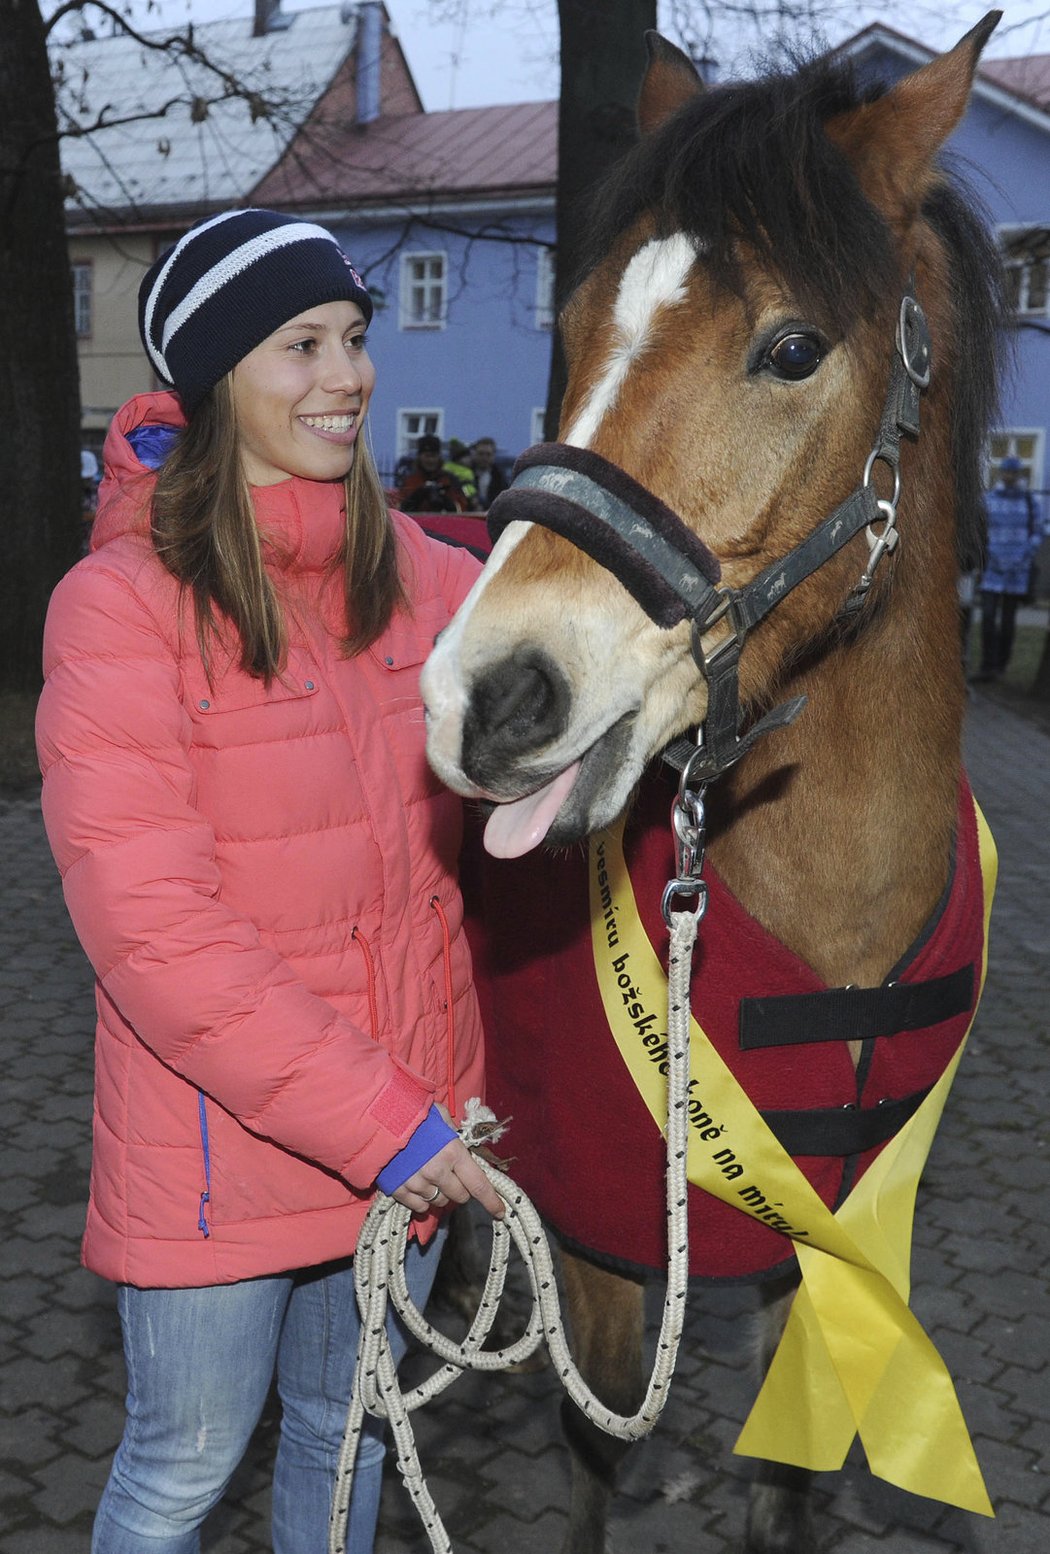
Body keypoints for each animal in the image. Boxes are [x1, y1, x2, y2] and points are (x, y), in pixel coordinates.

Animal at [422, 15, 1006, 1554]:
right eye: (571, 330)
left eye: (791, 348)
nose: (486, 698)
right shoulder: (609, 1255)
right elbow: (591, 1446)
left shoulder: (835, 1247)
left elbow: (789, 1474)